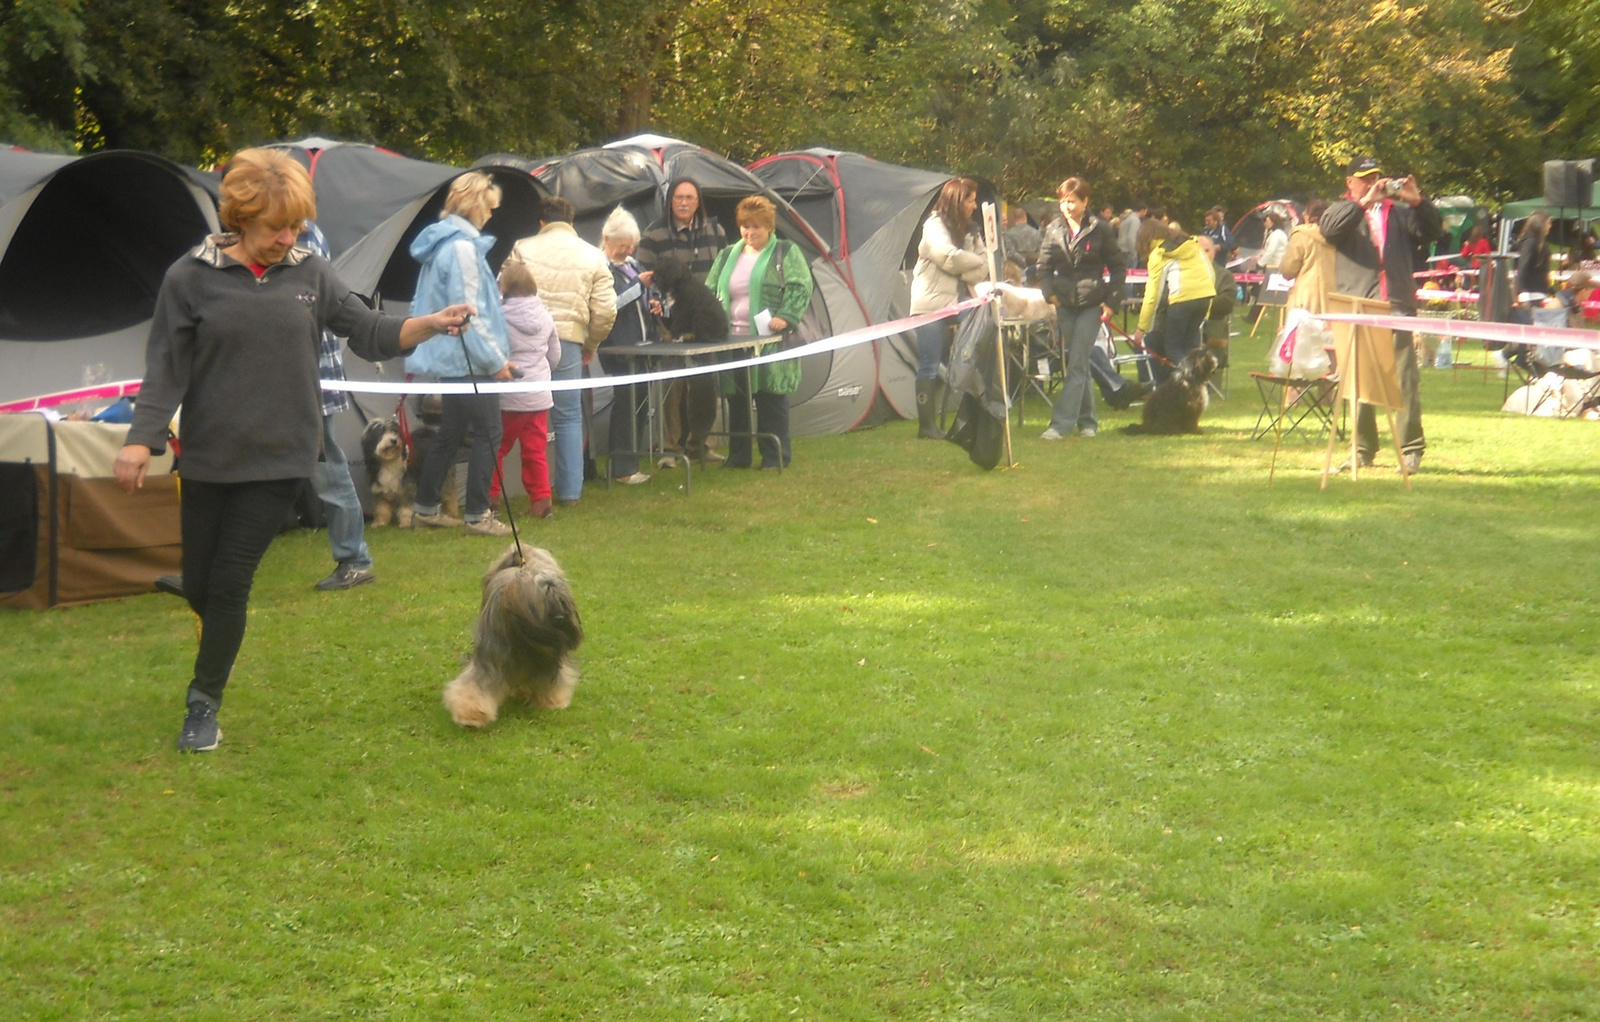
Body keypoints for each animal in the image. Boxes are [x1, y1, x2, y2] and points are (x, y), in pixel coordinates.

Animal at [441, 543, 585, 729]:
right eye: (541, 600)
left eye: (562, 599)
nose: (560, 618)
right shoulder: (491, 654)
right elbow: (476, 684)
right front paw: (472, 715)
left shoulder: (547, 658)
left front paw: (552, 700)